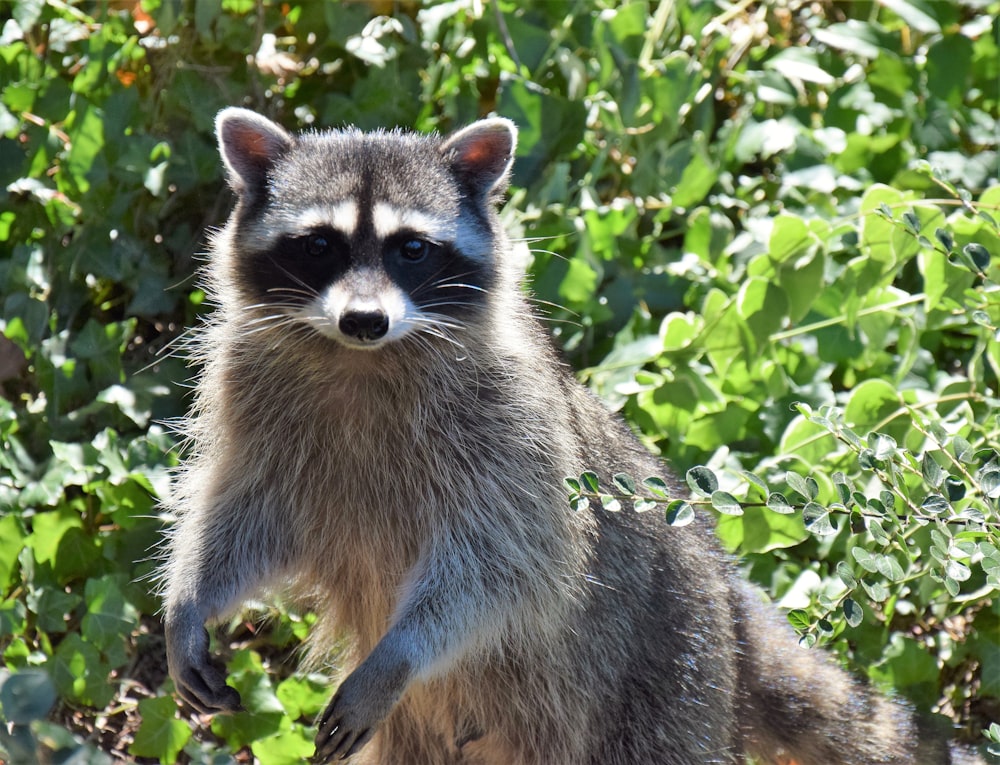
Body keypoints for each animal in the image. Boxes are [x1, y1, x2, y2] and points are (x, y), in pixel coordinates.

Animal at [162, 109, 984, 764]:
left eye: (411, 249)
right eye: (321, 244)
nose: (364, 319)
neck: (361, 361)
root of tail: (724, 587)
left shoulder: (513, 436)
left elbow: (501, 568)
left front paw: (402, 651)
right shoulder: (257, 405)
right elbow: (246, 513)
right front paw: (191, 598)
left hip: (666, 684)